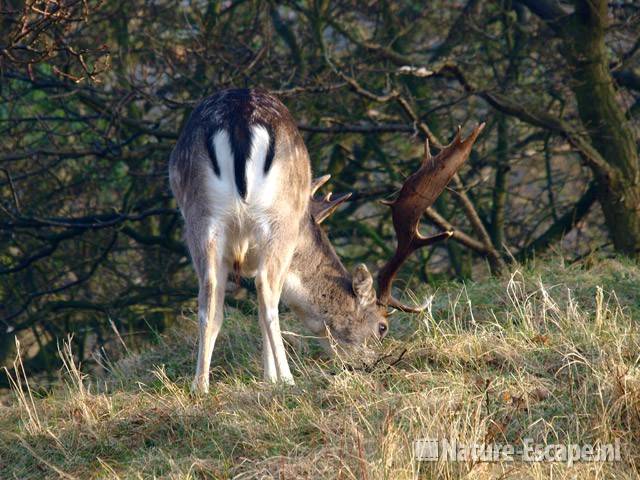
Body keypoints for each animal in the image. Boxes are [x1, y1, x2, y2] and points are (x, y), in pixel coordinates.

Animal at [170, 88, 484, 392]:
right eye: (382, 327)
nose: (371, 365)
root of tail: (239, 119)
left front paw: (266, 378)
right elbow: (264, 305)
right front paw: (273, 379)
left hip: (201, 219)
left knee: (208, 304)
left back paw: (200, 387)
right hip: (277, 220)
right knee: (266, 293)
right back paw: (288, 380)